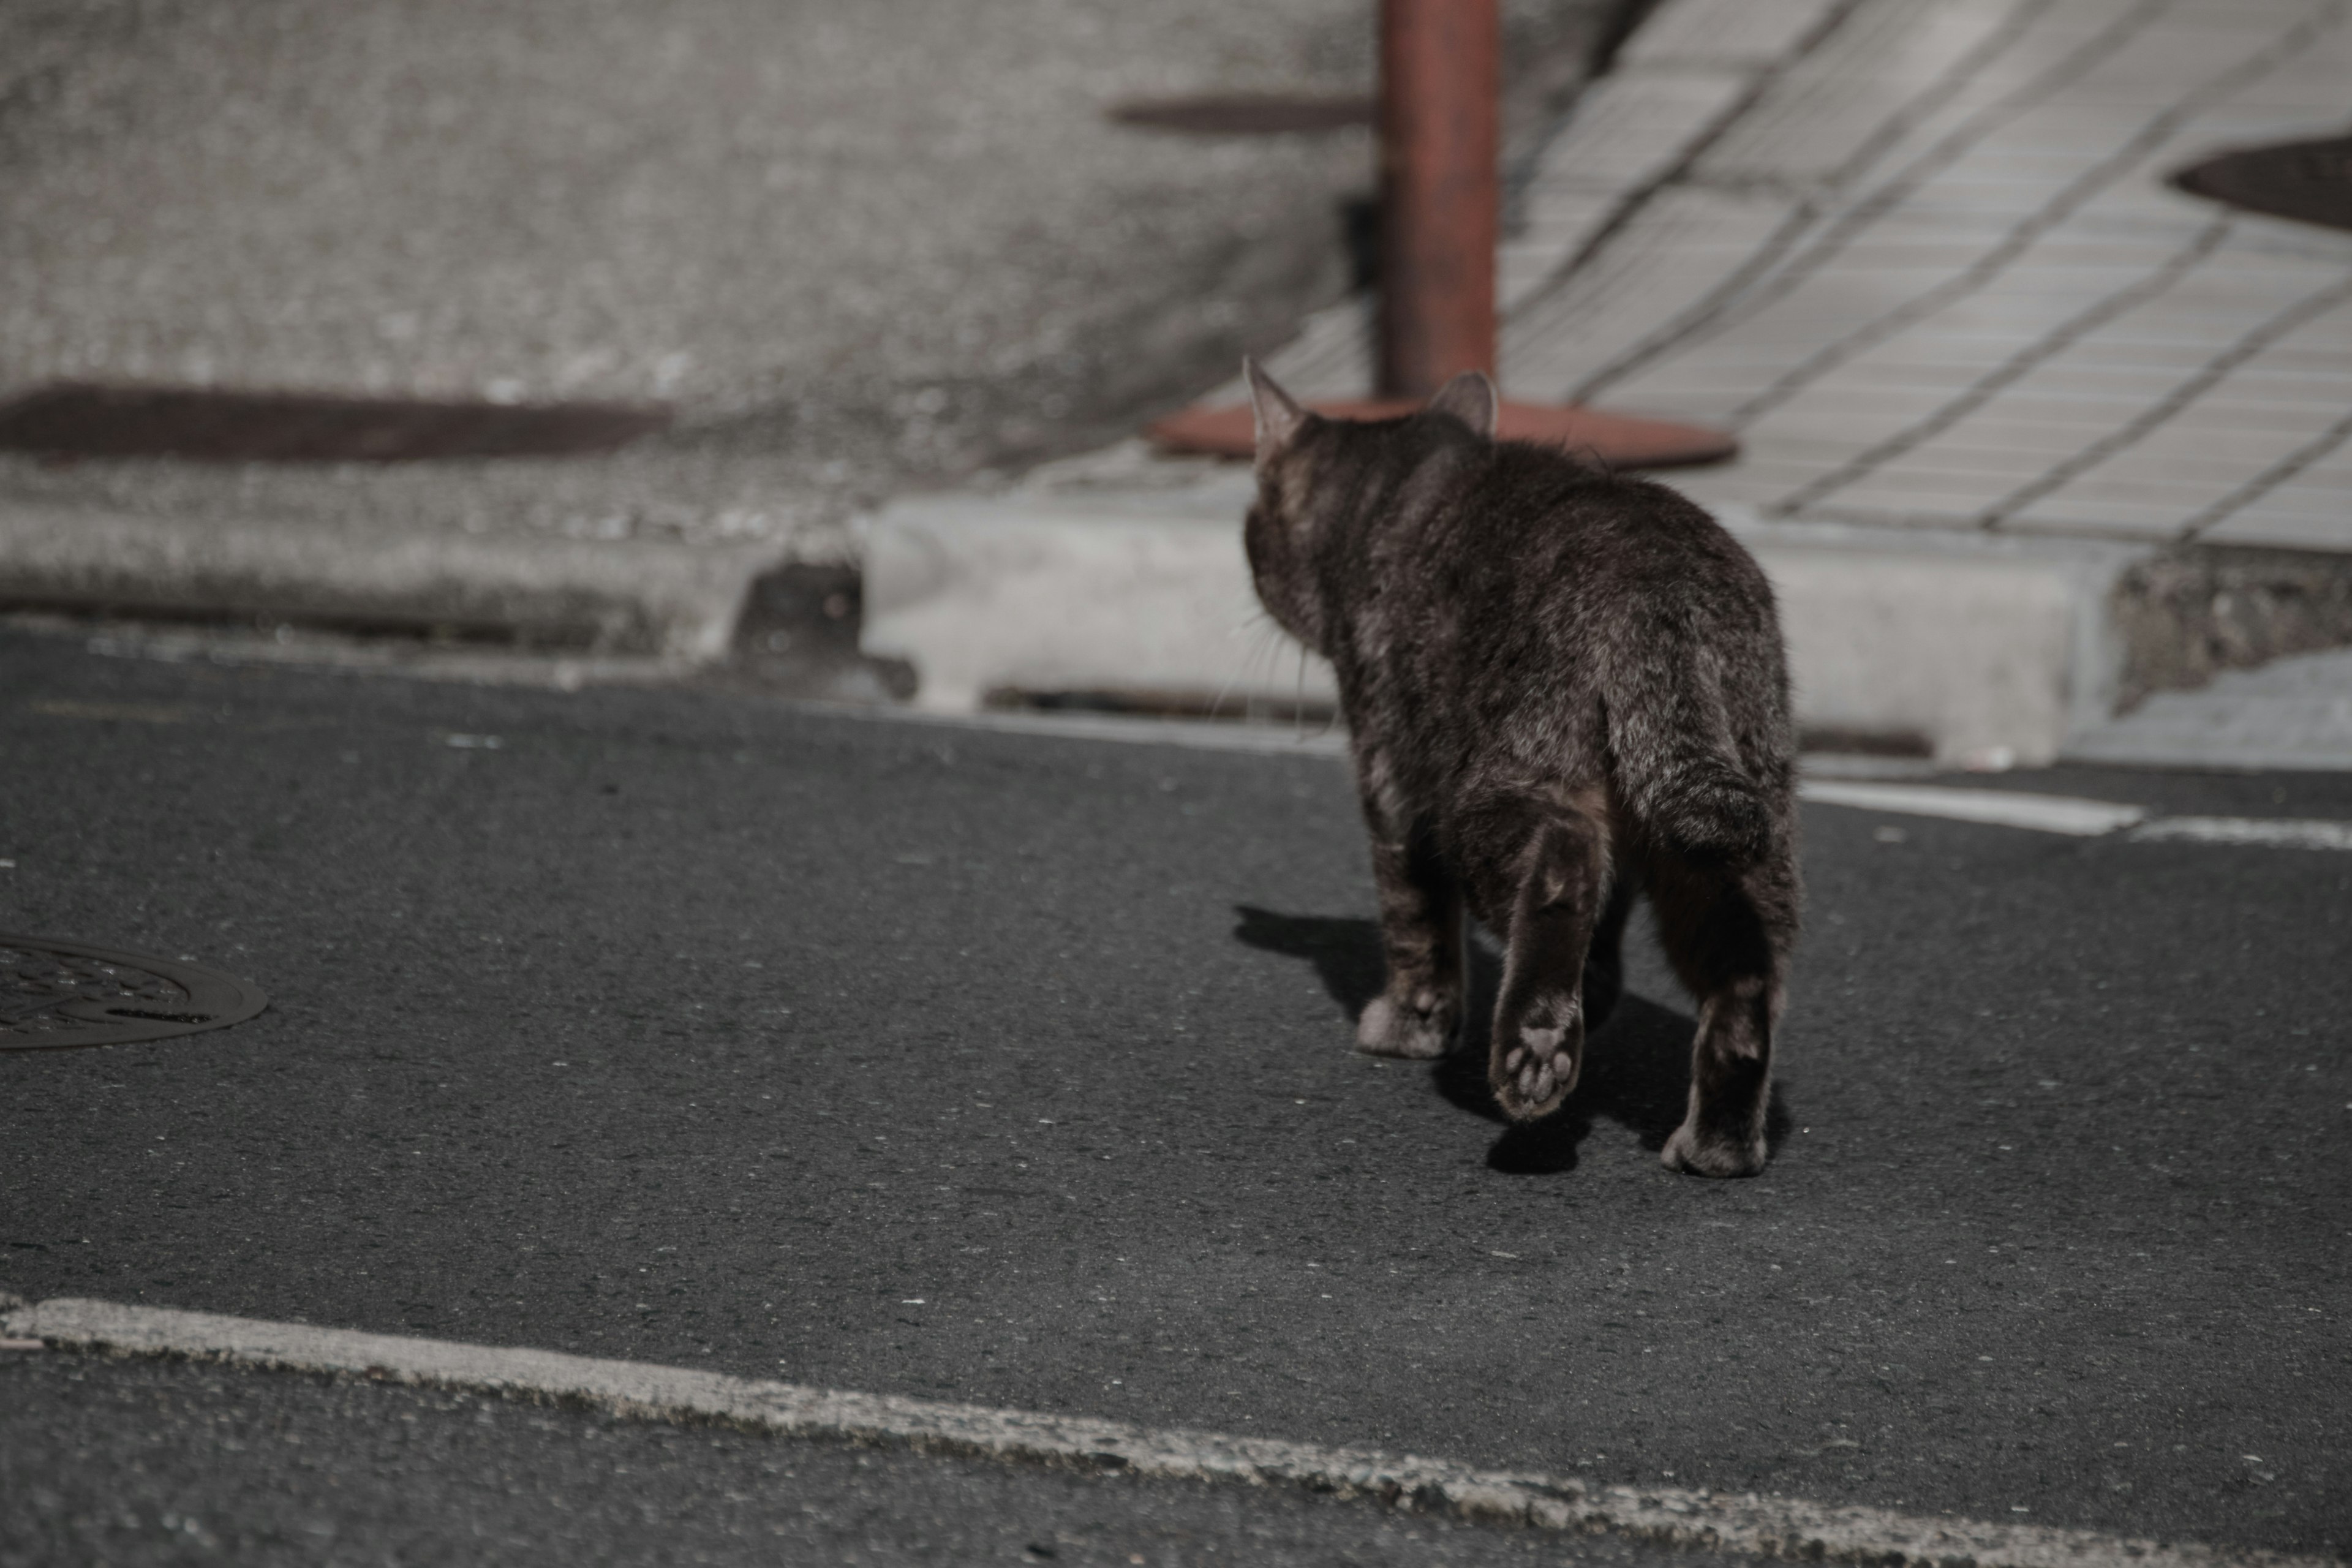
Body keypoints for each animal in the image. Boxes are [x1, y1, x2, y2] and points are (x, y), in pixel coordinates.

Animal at [1242, 362, 1806, 1170]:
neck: (1394, 488)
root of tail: (1656, 582)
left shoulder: (1392, 779)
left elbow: (1413, 917)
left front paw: (1411, 1025)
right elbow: (1607, 925)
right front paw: (1597, 992)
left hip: (1488, 794)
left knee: (1564, 860)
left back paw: (1534, 1049)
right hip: (1735, 837)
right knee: (1746, 977)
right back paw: (1716, 1146)